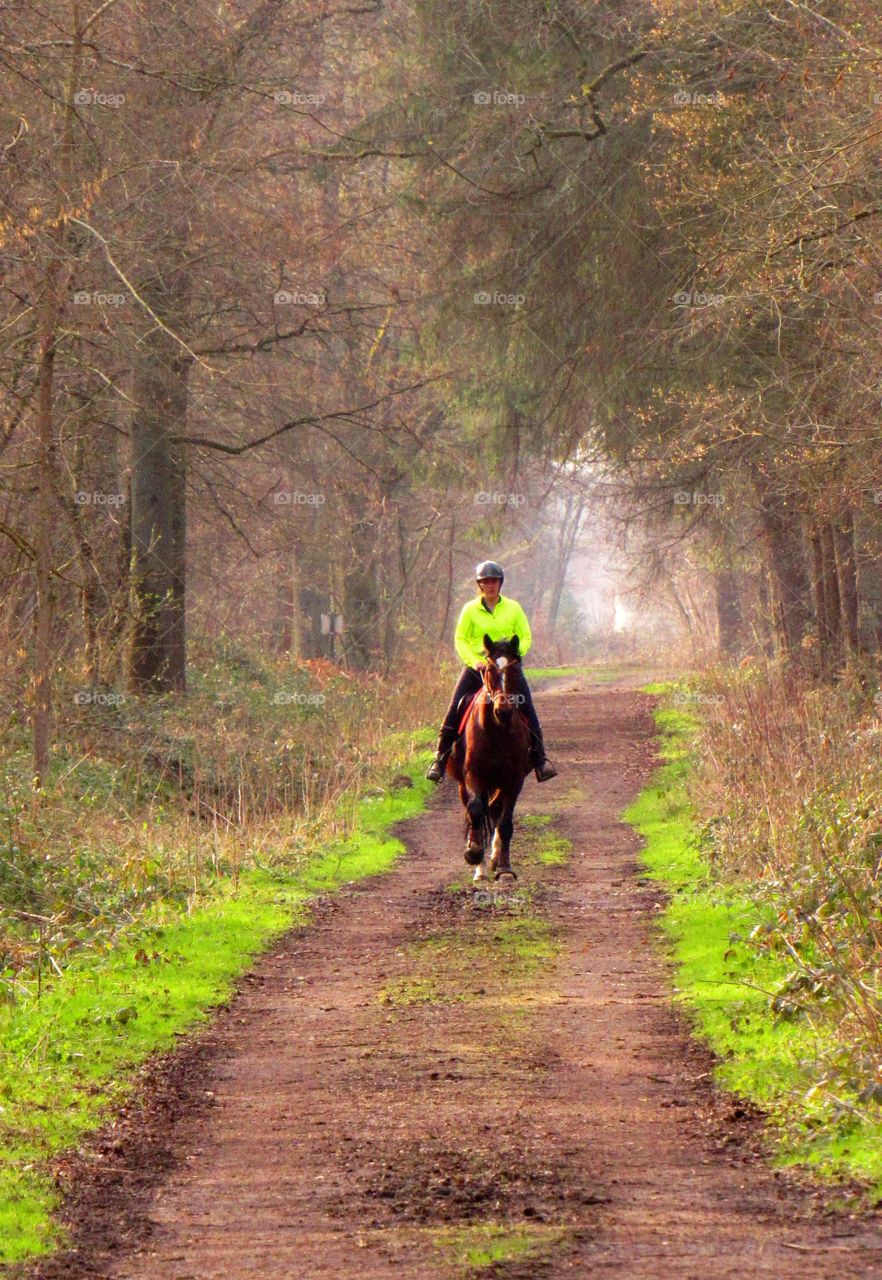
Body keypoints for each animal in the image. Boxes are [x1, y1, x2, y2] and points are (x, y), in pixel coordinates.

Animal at [448, 629, 529, 880]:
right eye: (490, 671)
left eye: (515, 670)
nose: (503, 711)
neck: (496, 730)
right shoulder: (474, 776)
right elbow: (475, 811)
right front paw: (473, 854)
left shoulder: (514, 780)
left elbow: (505, 823)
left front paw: (504, 869)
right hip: (464, 783)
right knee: (477, 810)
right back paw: (481, 867)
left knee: (494, 811)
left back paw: (493, 859)